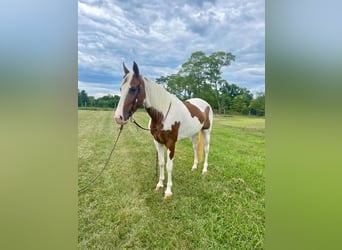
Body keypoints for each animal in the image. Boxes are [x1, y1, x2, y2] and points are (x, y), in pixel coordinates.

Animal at [113, 61, 212, 198]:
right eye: (120, 89)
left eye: (133, 88)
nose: (119, 117)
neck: (162, 115)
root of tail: (204, 103)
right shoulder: (157, 142)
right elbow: (161, 163)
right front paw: (159, 184)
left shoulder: (171, 143)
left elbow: (169, 166)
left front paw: (168, 191)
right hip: (193, 134)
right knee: (196, 148)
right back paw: (194, 167)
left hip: (207, 131)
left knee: (206, 149)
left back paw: (204, 170)